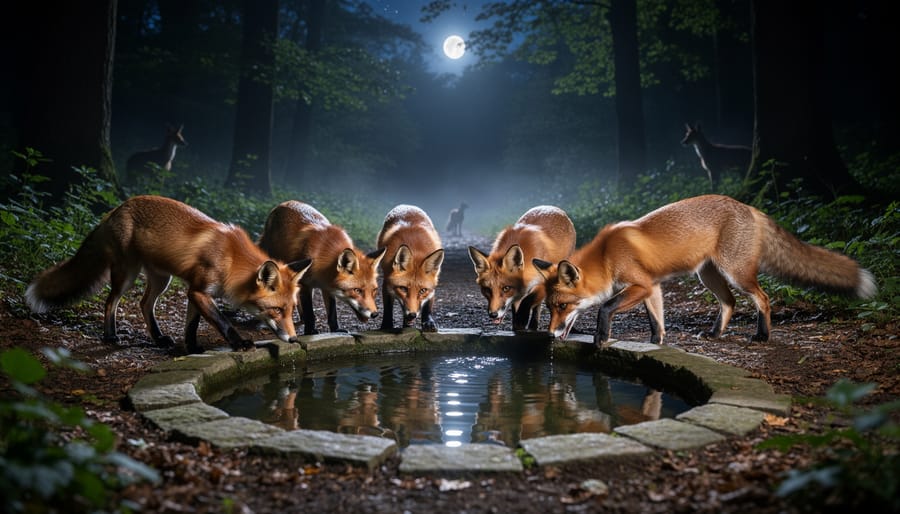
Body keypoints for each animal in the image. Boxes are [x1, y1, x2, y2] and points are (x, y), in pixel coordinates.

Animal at [25, 195, 311, 354]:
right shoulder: (199, 290)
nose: (294, 338)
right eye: (276, 310)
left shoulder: (195, 292)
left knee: (144, 304)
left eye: (291, 310)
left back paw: (158, 337)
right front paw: (239, 343)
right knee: (110, 302)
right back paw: (111, 335)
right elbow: (221, 321)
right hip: (126, 273)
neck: (231, 259)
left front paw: (192, 348)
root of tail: (116, 208)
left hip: (162, 279)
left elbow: (191, 326)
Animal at [259, 200, 386, 335]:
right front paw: (310, 332)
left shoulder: (327, 287)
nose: (375, 314)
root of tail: (285, 203)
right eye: (357, 290)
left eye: (374, 290)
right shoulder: (305, 285)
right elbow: (310, 313)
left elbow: (332, 313)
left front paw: (335, 330)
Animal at [533, 194, 877, 348]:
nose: (549, 334)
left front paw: (601, 337)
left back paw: (762, 335)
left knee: (763, 299)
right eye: (548, 308)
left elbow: (606, 306)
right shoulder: (653, 288)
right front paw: (655, 342)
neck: (606, 256)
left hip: (736, 273)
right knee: (730, 303)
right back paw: (714, 333)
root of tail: (748, 207)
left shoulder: (641, 285)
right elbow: (657, 320)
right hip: (709, 276)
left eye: (562, 306)